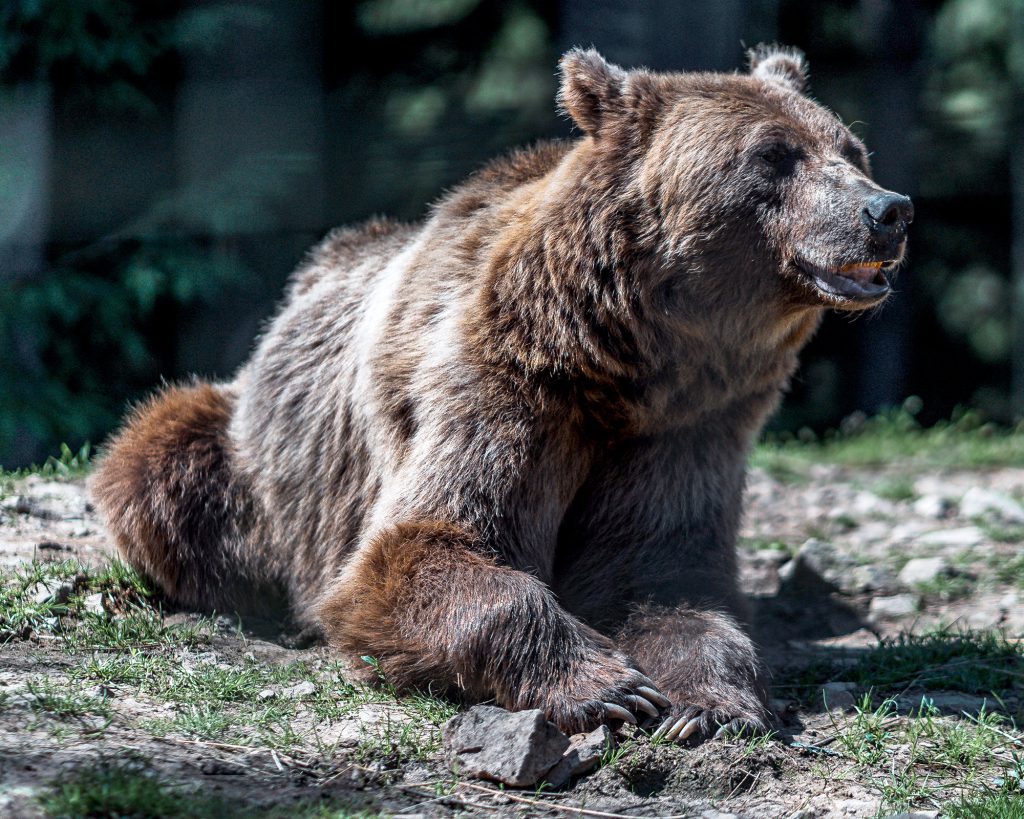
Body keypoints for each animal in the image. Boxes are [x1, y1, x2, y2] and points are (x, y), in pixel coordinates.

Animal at [94, 46, 913, 741]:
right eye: (773, 155)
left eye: (850, 148)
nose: (889, 209)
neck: (625, 363)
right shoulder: (504, 386)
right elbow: (424, 545)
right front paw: (607, 684)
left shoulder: (690, 427)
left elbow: (663, 577)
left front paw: (702, 703)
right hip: (241, 455)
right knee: (161, 464)